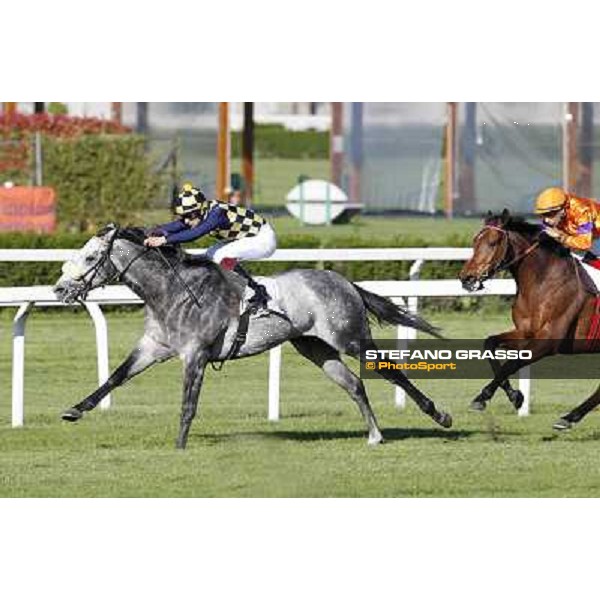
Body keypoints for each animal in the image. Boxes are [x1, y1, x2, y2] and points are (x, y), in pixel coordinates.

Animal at [54, 226, 452, 450]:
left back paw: (439, 415)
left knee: (389, 370)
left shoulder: (195, 354)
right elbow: (115, 377)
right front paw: (75, 409)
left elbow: (188, 404)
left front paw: (180, 446)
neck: (170, 290)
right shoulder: (154, 347)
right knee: (354, 383)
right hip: (315, 347)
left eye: (90, 256)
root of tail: (344, 281)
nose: (59, 289)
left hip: (349, 337)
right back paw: (375, 435)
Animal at [462, 211, 600, 432]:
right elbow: (490, 343)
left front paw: (483, 397)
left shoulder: (548, 341)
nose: (466, 278)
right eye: (475, 241)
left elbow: (513, 363)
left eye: (493, 242)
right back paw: (569, 417)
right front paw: (514, 396)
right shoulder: (525, 333)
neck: (543, 281)